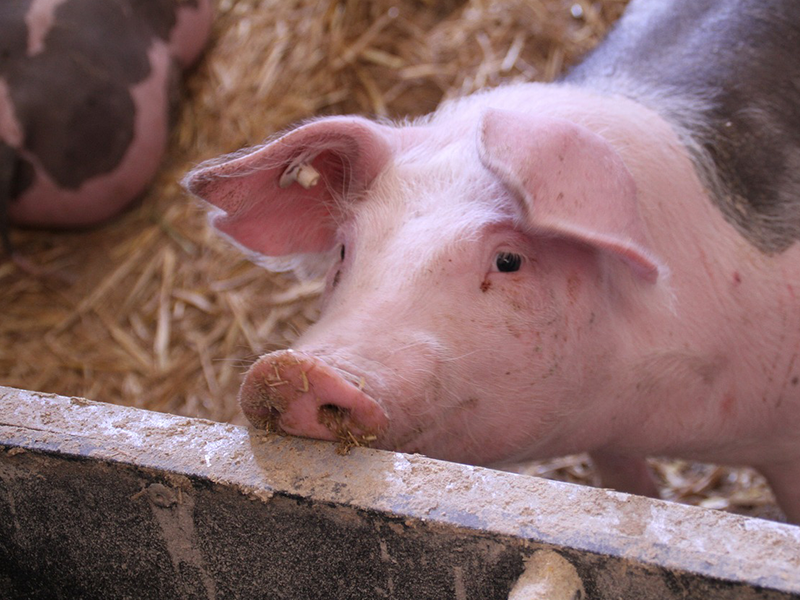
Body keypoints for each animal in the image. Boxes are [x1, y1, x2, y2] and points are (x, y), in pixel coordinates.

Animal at [183, 0, 800, 524]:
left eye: (508, 260)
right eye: (342, 249)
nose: (295, 371)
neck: (643, 399)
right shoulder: (609, 439)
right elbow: (630, 488)